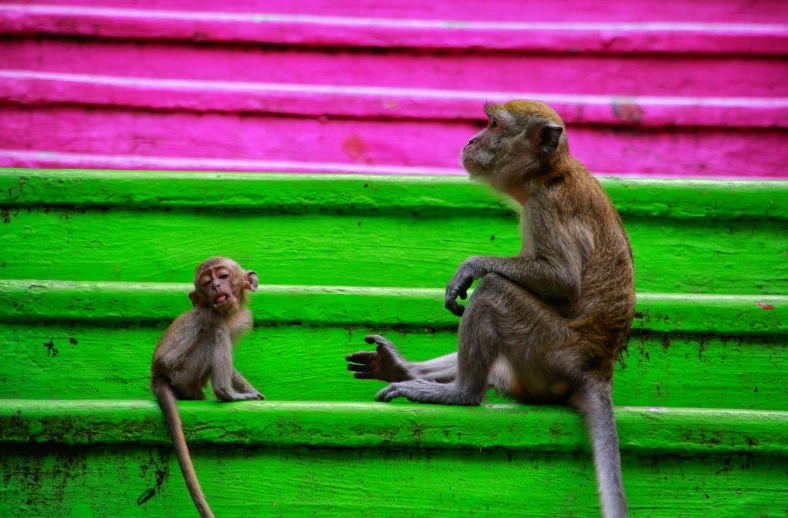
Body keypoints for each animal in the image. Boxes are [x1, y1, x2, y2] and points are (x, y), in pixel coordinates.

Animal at [151, 258, 264, 518]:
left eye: (222, 276)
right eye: (206, 282)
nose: (215, 286)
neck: (229, 311)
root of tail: (157, 374)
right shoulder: (213, 317)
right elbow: (220, 335)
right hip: (183, 372)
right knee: (217, 337)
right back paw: (227, 394)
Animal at [348, 100, 636, 518]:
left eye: (494, 125)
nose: (470, 140)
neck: (548, 174)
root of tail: (598, 368)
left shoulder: (547, 207)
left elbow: (562, 279)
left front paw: (471, 267)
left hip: (549, 350)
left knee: (493, 291)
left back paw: (461, 393)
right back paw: (403, 369)